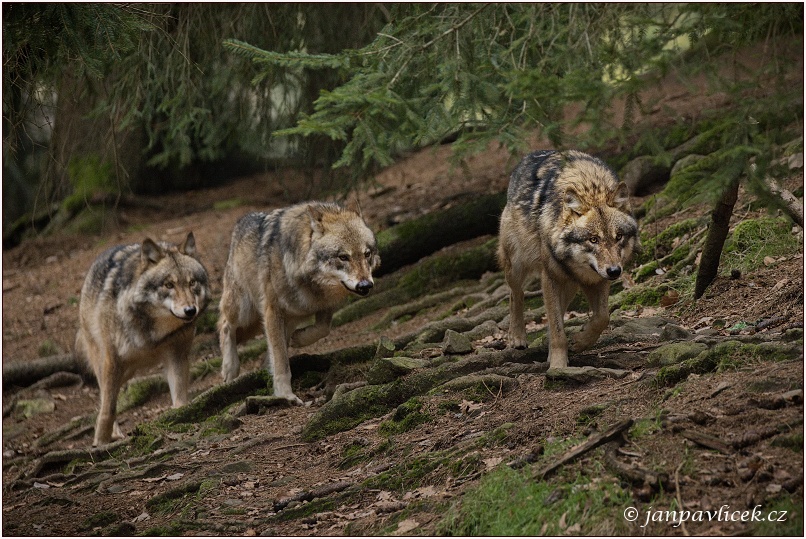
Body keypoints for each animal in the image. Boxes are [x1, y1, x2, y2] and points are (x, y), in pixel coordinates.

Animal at [75, 232, 211, 448]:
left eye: (192, 283)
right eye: (169, 285)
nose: (190, 310)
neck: (153, 333)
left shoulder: (178, 356)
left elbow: (180, 397)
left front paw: (180, 415)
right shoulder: (112, 361)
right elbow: (108, 408)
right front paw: (101, 441)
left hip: (128, 371)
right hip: (105, 362)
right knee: (104, 396)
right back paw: (113, 433)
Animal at [218, 202, 382, 404]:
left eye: (367, 254)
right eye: (343, 257)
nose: (365, 285)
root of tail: (241, 221)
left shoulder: (325, 305)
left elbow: (322, 329)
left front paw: (299, 339)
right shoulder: (272, 310)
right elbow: (281, 361)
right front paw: (285, 394)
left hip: (282, 319)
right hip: (246, 313)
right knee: (225, 325)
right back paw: (230, 368)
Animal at [498, 152, 636, 372]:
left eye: (619, 237)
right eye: (593, 239)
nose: (615, 271)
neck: (590, 187)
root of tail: (528, 156)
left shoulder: (597, 280)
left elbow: (602, 318)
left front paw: (579, 342)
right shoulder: (551, 278)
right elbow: (557, 329)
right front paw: (558, 366)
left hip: (570, 286)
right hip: (517, 267)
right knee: (516, 294)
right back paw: (517, 337)